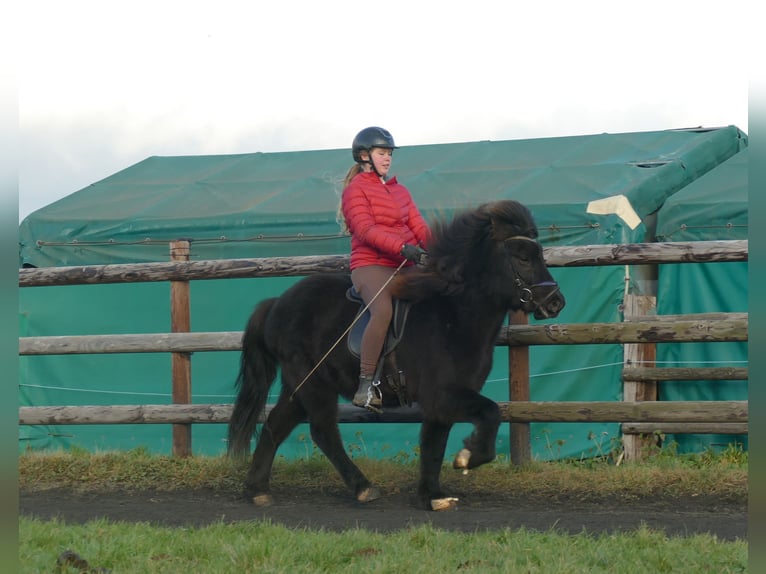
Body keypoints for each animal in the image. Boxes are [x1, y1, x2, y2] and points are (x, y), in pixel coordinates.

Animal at [226, 200, 564, 510]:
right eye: (522, 257)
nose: (555, 302)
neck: (453, 315)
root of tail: (275, 304)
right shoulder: (443, 393)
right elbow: (490, 413)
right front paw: (468, 458)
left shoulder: (441, 402)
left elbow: (433, 443)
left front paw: (433, 496)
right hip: (313, 384)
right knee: (322, 431)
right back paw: (363, 487)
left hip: (299, 385)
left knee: (276, 425)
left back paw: (257, 490)